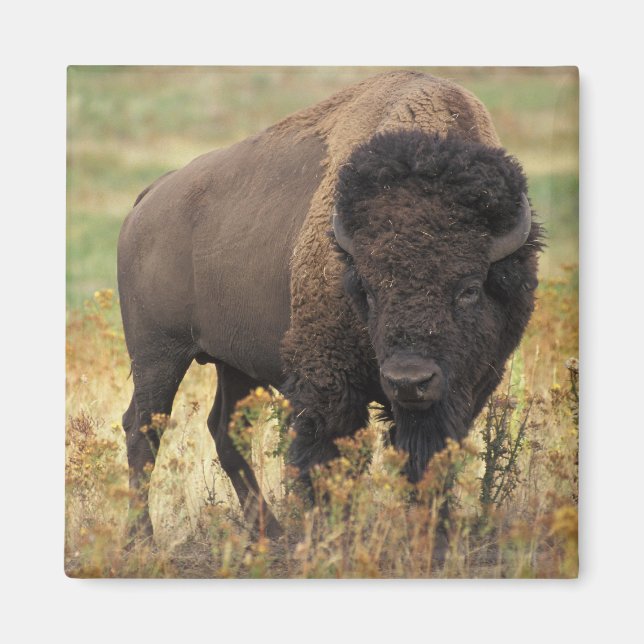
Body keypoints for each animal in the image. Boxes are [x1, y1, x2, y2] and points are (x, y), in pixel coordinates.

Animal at [117, 70, 542, 539]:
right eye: (368, 289)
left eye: (468, 288)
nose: (409, 381)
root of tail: (150, 197)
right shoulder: (328, 384)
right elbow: (326, 460)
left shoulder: (466, 388)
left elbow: (428, 460)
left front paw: (434, 533)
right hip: (158, 354)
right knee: (143, 429)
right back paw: (143, 538)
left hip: (232, 363)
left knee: (224, 429)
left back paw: (270, 533)